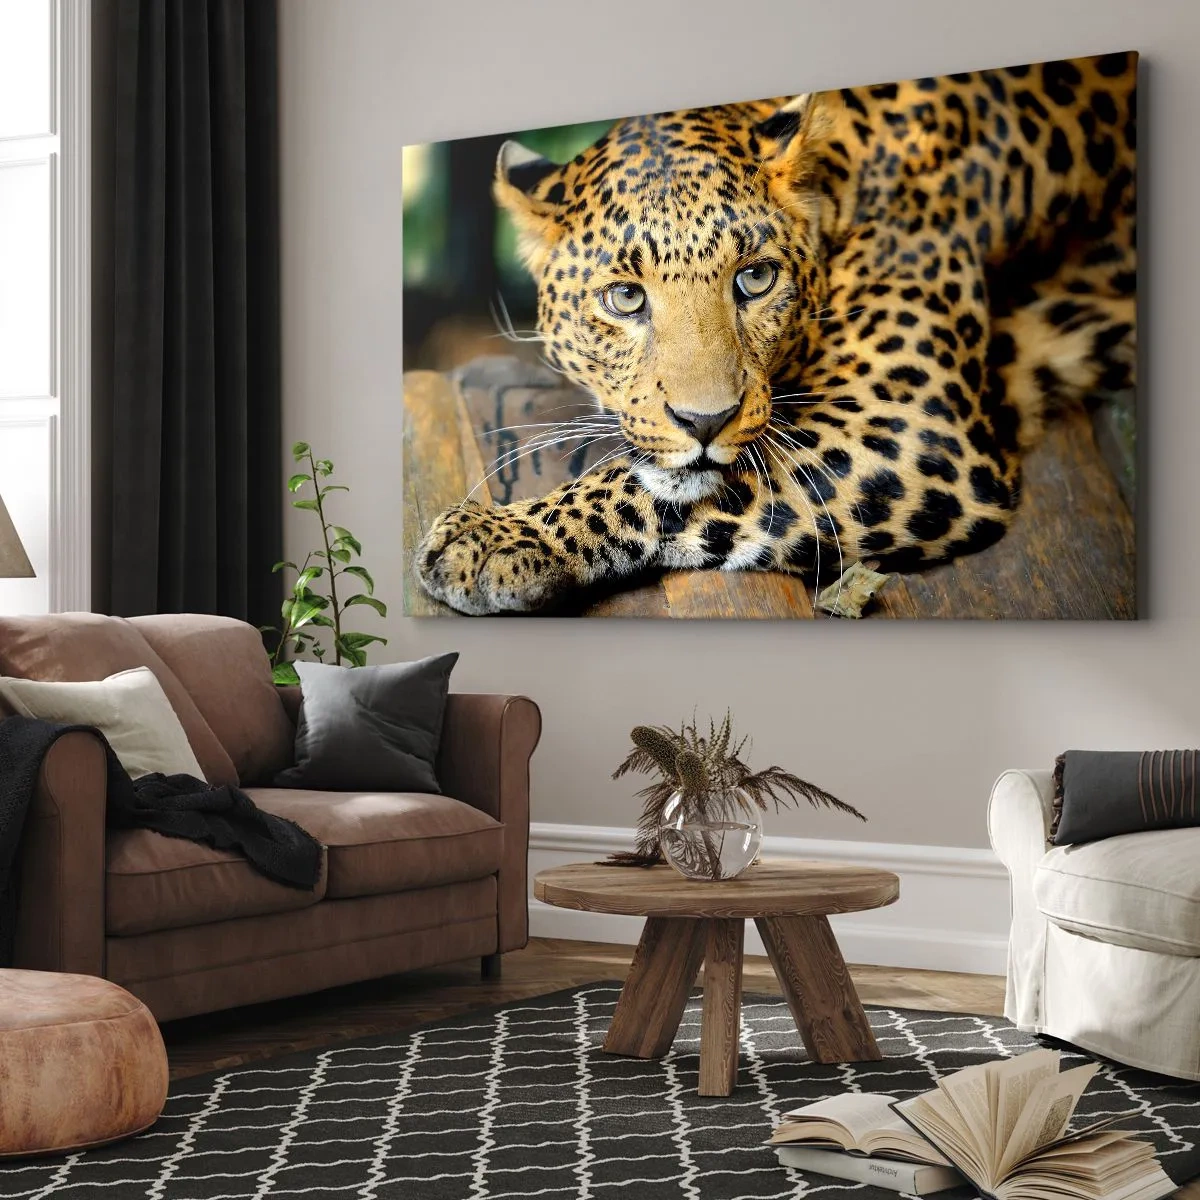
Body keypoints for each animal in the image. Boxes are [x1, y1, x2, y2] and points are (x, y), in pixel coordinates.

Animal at [415, 51, 1137, 615]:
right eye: (625, 297)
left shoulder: (915, 429)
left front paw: (501, 536)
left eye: (755, 278)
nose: (705, 422)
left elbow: (674, 483)